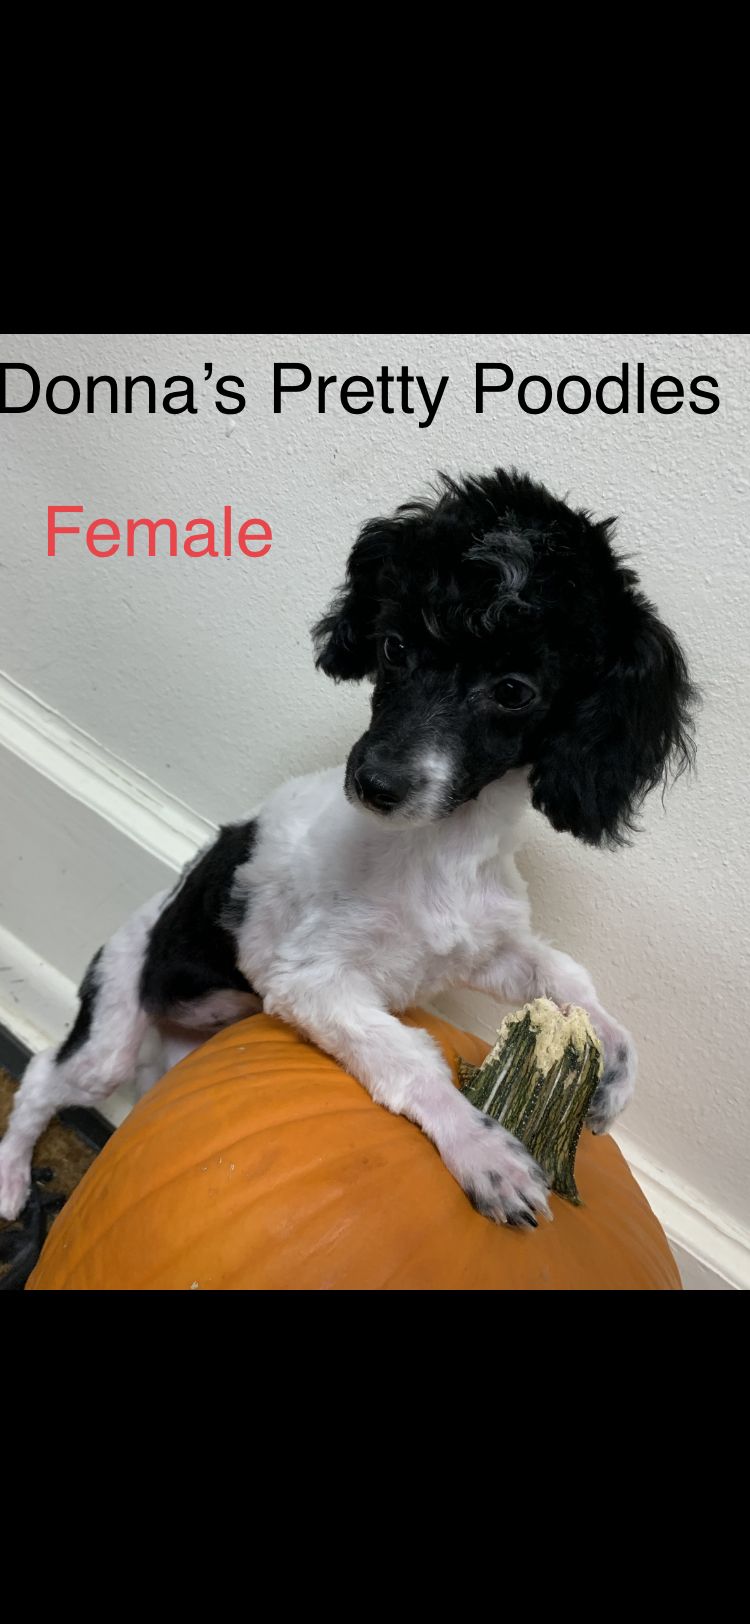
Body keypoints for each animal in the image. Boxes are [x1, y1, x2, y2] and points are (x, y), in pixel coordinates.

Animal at [0, 468, 696, 1227]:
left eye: (514, 691)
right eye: (394, 647)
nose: (375, 781)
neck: (436, 848)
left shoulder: (488, 948)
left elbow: (565, 978)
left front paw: (616, 1064)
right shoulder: (313, 982)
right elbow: (410, 1059)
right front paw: (479, 1147)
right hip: (110, 1032)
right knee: (42, 1078)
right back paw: (11, 1175)